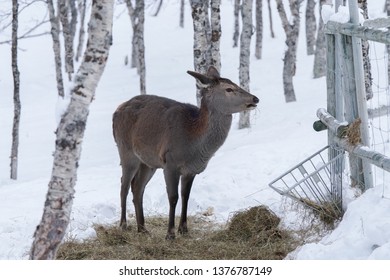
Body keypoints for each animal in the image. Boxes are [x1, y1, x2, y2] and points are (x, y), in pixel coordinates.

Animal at [112, 66, 258, 240]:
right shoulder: (170, 163)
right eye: (229, 89)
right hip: (126, 151)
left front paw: (184, 229)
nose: (255, 99)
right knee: (124, 185)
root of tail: (116, 111)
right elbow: (173, 197)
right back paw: (123, 225)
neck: (193, 146)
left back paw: (142, 228)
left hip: (148, 162)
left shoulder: (191, 170)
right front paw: (170, 233)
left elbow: (185, 196)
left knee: (137, 187)